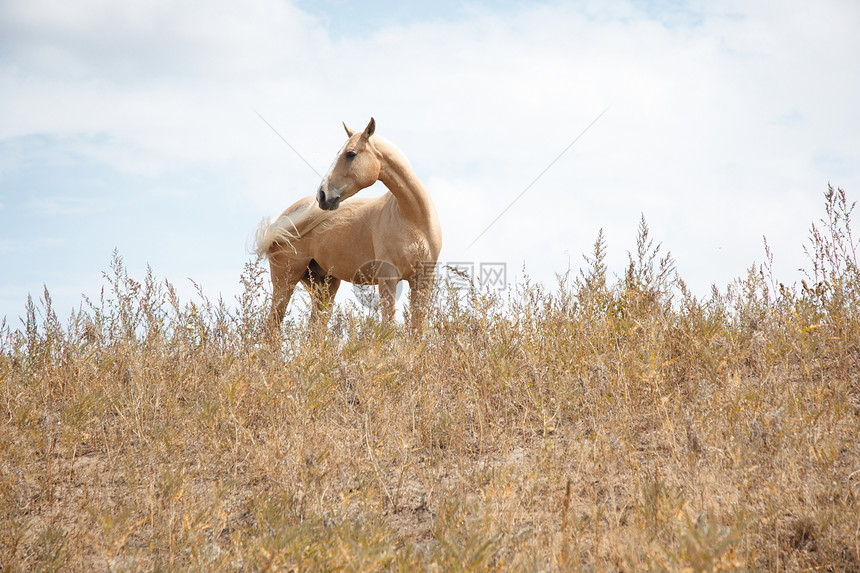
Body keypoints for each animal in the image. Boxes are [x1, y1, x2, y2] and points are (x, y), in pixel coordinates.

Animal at [254, 117, 444, 326]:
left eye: (350, 154)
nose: (322, 195)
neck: (412, 219)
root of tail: (279, 223)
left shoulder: (423, 280)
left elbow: (418, 328)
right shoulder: (388, 278)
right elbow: (390, 325)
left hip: (324, 286)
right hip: (285, 283)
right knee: (273, 325)